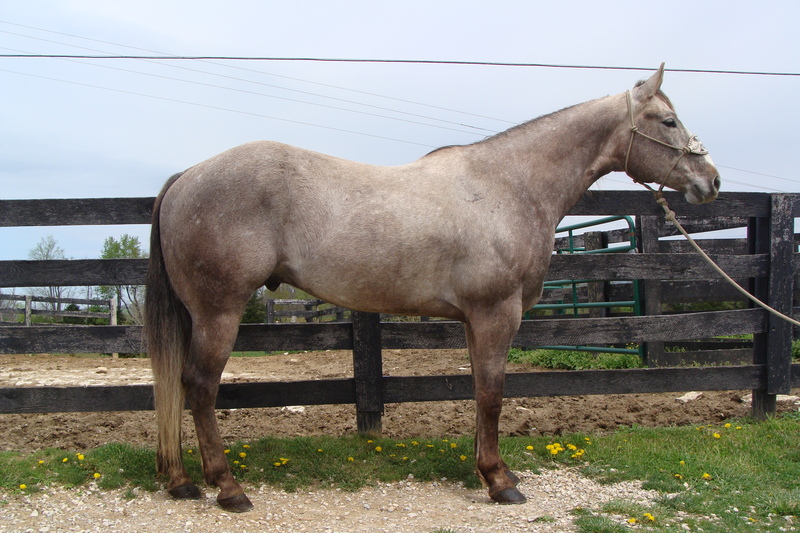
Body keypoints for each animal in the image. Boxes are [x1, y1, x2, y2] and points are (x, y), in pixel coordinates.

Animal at [145, 63, 720, 511]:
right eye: (668, 120)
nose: (710, 180)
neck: (507, 185)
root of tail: (187, 177)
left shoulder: (475, 321)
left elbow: (480, 391)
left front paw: (486, 471)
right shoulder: (496, 315)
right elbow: (492, 394)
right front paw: (500, 482)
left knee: (176, 384)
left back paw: (181, 481)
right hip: (219, 313)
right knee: (199, 387)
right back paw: (228, 489)